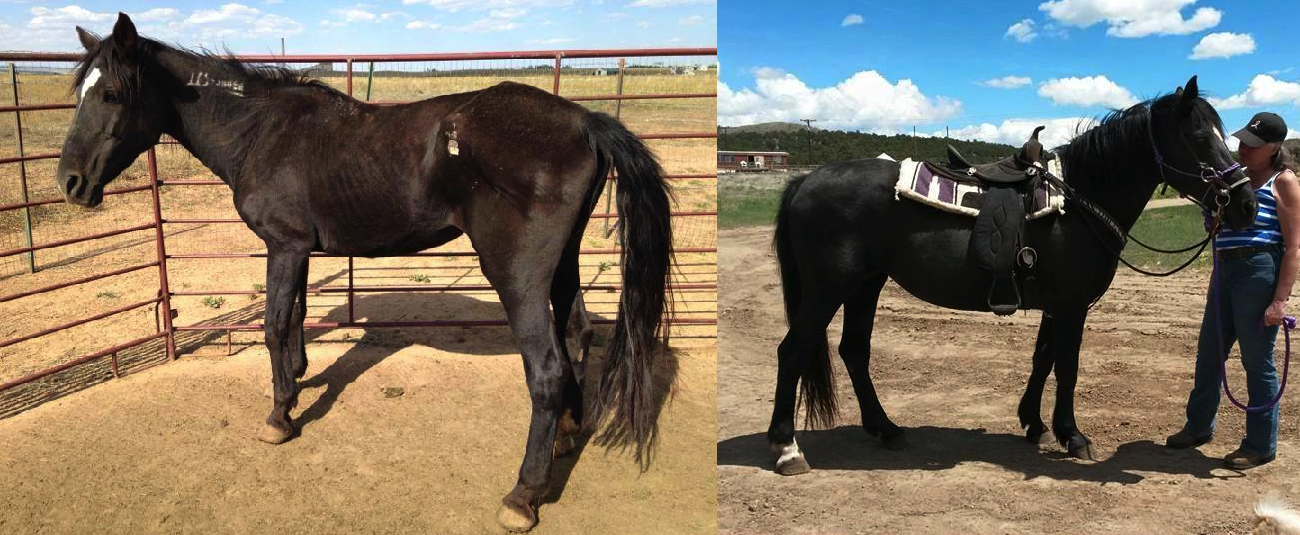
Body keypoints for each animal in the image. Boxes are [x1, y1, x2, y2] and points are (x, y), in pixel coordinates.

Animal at [56, 14, 673, 532]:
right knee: (578, 334)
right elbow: (297, 319)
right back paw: (567, 436)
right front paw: (296, 384)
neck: (261, 131)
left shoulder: (283, 246)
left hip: (517, 276)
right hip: (562, 263)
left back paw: (522, 495)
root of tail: (584, 121)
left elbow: (274, 326)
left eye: (111, 93)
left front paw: (278, 418)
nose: (70, 183)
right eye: (80, 93)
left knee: (545, 369)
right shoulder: (300, 250)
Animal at [766, 76, 1259, 476]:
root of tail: (806, 180)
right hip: (827, 289)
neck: (1079, 202)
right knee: (793, 351)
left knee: (854, 351)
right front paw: (1073, 435)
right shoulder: (1071, 307)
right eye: (1199, 136)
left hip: (865, 285)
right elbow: (1068, 367)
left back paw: (886, 429)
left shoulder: (1056, 306)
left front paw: (1035, 423)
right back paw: (787, 449)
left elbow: (1043, 360)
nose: (1245, 204)